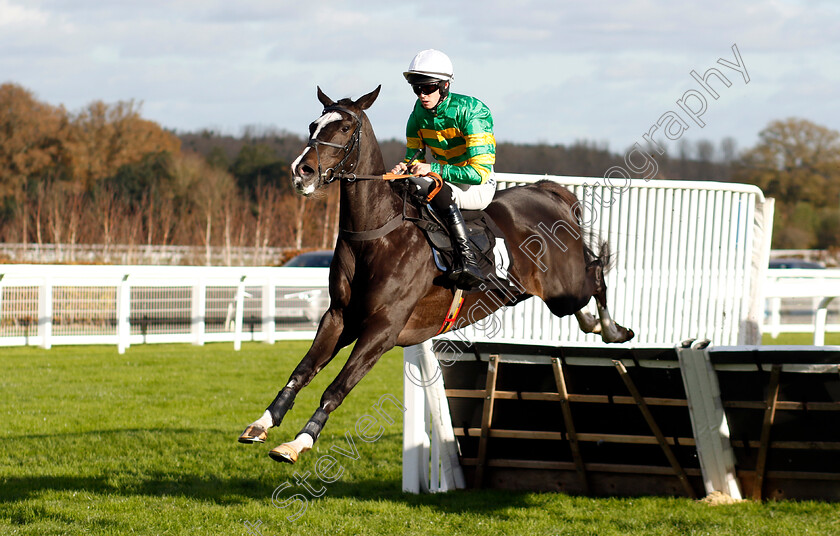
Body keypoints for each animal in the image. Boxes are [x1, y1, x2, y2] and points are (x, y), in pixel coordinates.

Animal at [236, 86, 632, 462]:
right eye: (312, 125)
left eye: (345, 127)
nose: (301, 172)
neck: (377, 234)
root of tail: (548, 192)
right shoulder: (339, 317)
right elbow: (301, 372)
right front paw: (263, 422)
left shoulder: (383, 329)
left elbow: (336, 389)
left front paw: (298, 442)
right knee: (586, 294)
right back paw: (595, 325)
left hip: (565, 288)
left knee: (596, 274)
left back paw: (613, 329)